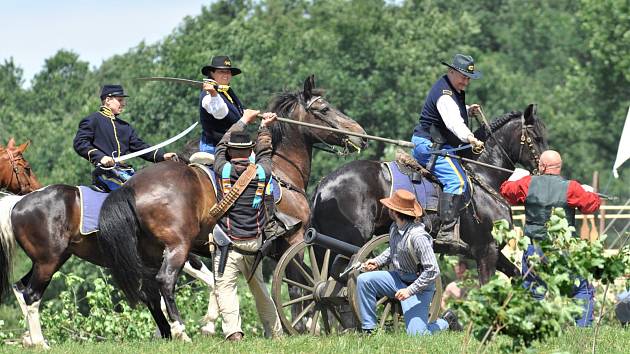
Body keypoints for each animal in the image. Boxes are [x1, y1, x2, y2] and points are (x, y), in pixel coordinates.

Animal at [312, 103, 548, 284]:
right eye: (537, 137)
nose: (545, 168)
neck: (483, 175)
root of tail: (323, 186)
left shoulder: (494, 253)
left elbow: (521, 275)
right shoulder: (486, 251)